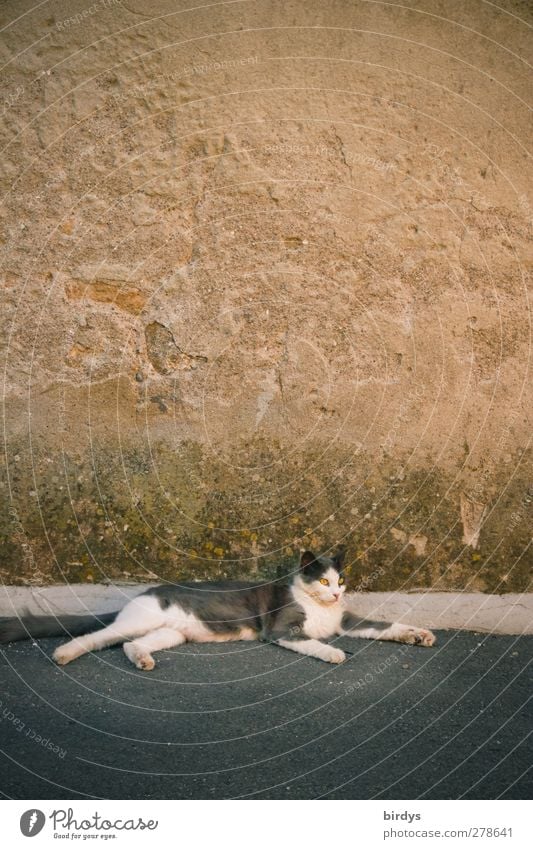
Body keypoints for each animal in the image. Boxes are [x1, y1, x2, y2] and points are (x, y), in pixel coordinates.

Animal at [0, 548, 434, 668]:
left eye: (341, 581)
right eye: (323, 581)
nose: (336, 595)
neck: (321, 610)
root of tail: (140, 595)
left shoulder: (348, 620)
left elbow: (385, 624)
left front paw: (420, 634)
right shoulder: (281, 629)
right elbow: (315, 642)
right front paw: (334, 653)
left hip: (170, 634)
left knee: (129, 645)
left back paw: (142, 660)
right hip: (137, 620)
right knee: (97, 636)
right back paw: (64, 654)